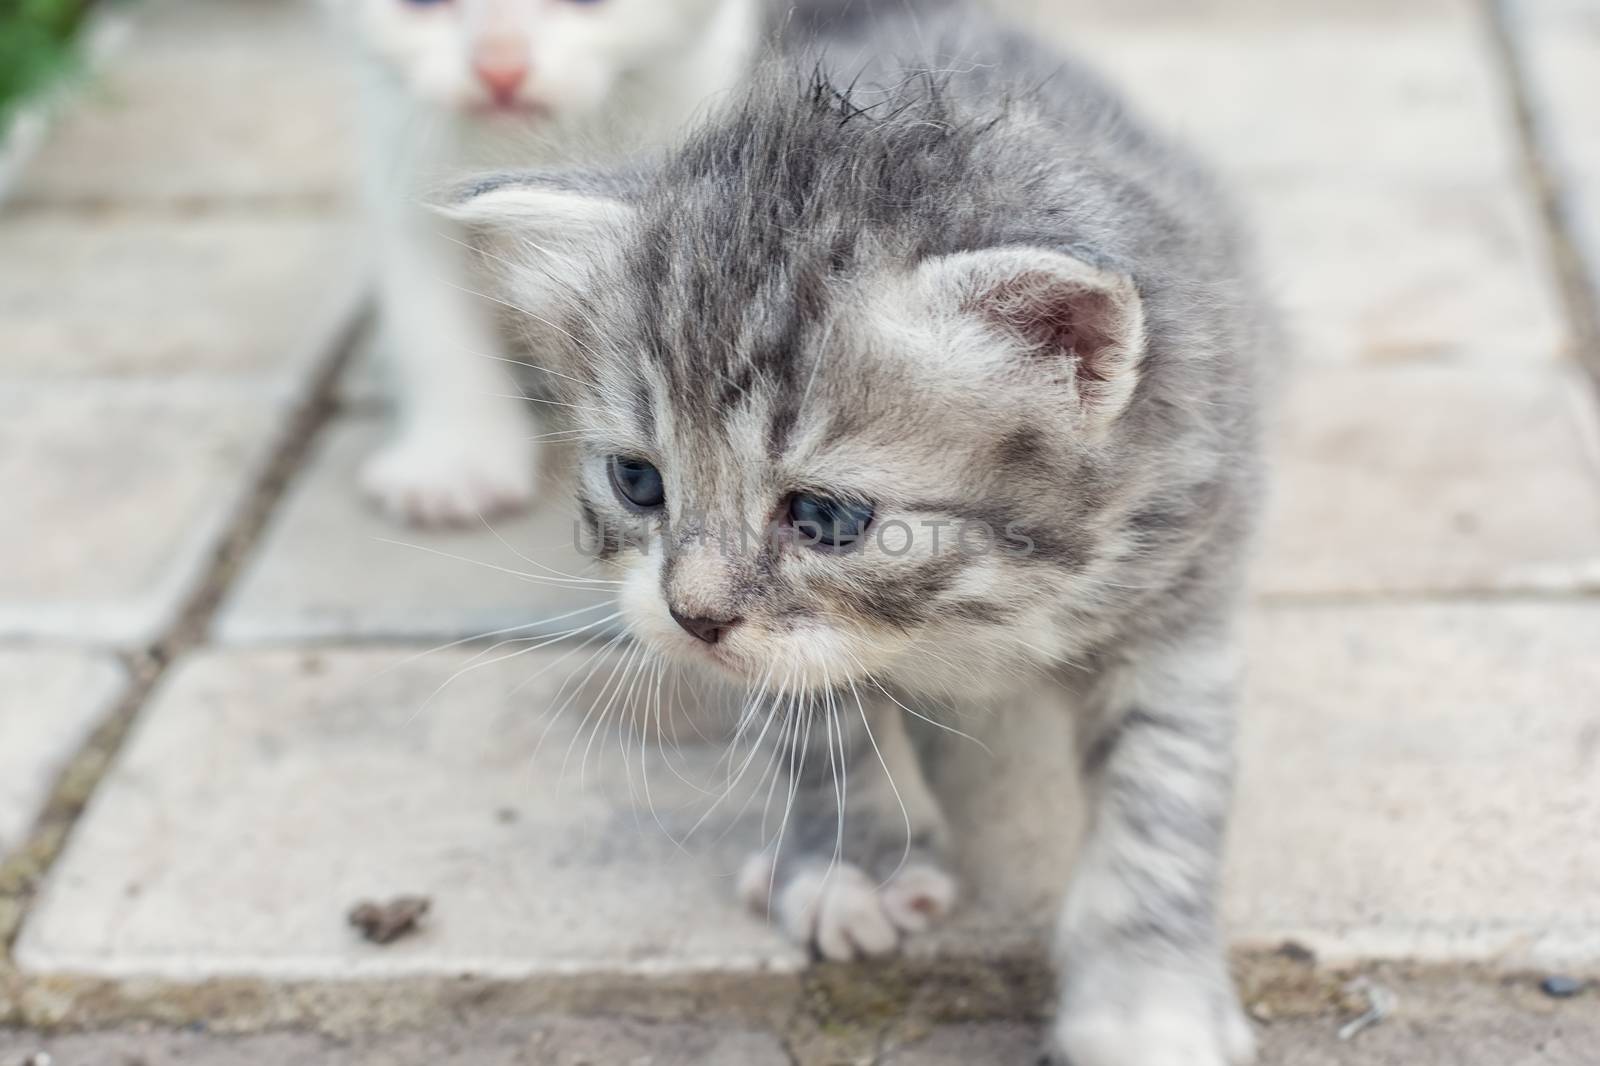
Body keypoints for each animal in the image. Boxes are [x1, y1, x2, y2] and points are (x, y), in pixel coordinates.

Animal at [448, 4, 1260, 1056]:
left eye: (825, 518)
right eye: (639, 481)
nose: (691, 617)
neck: (974, 617)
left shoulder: (1183, 581)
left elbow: (1163, 797)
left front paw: (1149, 1006)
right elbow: (820, 726)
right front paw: (851, 866)